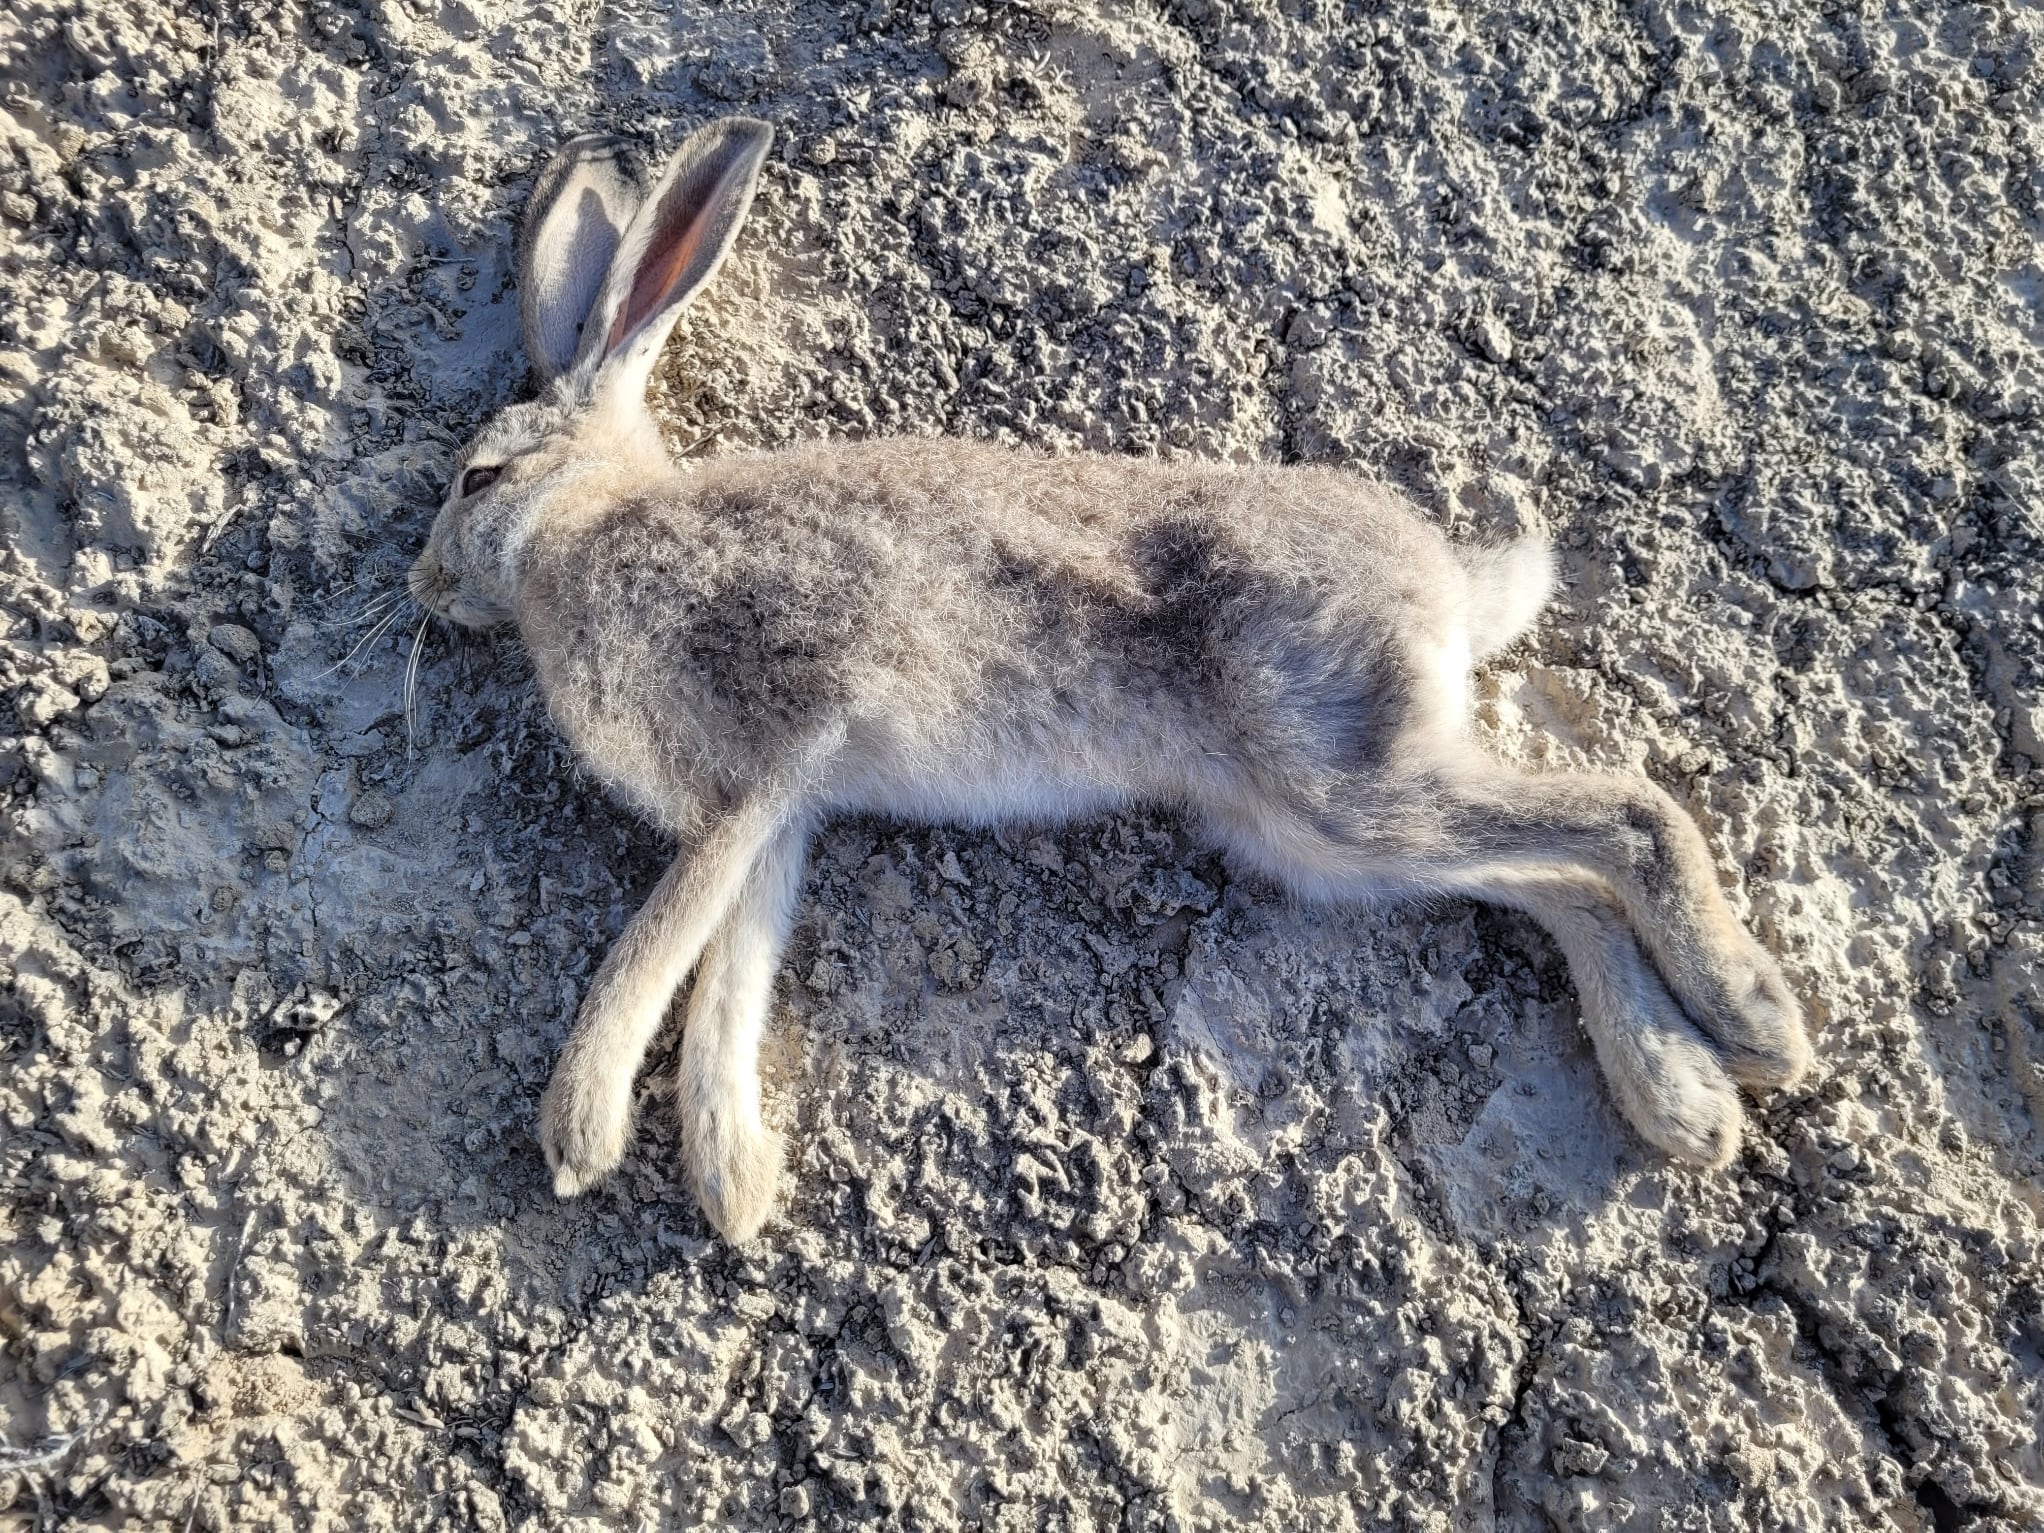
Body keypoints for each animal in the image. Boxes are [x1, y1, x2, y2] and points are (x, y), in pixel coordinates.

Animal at [408, 117, 1811, 1242]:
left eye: (479, 479)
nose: (420, 585)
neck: (587, 530)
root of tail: (1450, 590)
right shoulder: (781, 817)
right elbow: (732, 972)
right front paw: (735, 1179)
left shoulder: (762, 765)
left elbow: (661, 940)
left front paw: (579, 1127)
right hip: (1318, 836)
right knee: (1556, 883)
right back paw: (1682, 1095)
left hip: (1345, 781)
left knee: (1625, 813)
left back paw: (1754, 1023)